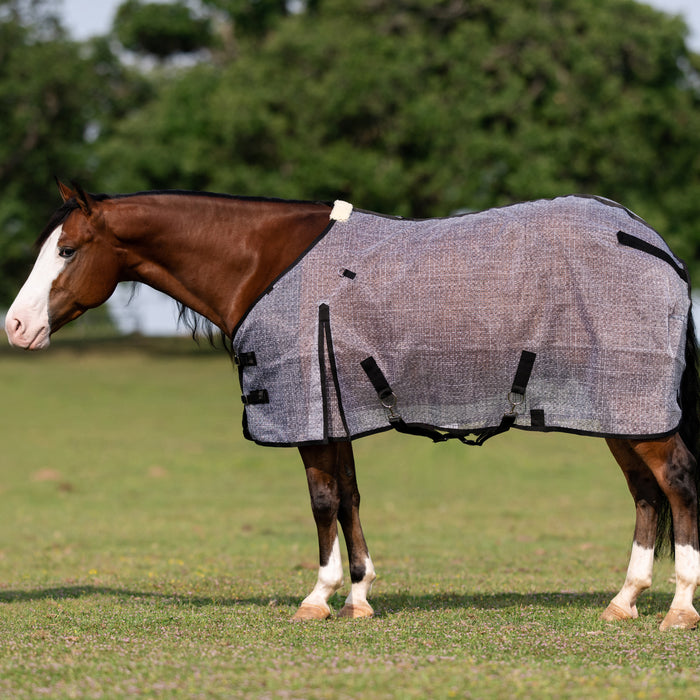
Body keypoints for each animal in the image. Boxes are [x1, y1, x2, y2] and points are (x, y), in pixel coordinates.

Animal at [5, 180, 700, 630]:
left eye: (66, 250)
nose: (15, 326)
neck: (265, 264)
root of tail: (657, 245)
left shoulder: (310, 411)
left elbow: (322, 502)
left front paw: (320, 597)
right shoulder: (334, 411)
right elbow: (349, 498)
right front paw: (360, 596)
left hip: (635, 411)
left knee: (677, 482)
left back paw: (679, 608)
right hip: (617, 413)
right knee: (646, 494)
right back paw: (624, 601)